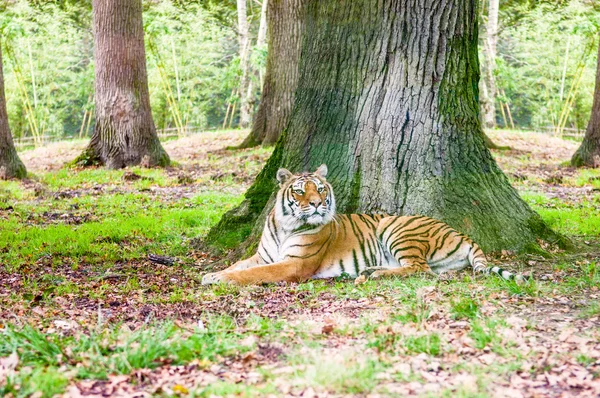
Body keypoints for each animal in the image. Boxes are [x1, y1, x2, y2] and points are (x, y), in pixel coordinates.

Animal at [203, 165, 524, 286]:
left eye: (321, 189)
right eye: (300, 190)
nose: (317, 204)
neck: (286, 225)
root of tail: (461, 232)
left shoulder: (294, 264)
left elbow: (254, 274)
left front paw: (219, 279)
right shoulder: (263, 255)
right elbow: (240, 265)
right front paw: (211, 274)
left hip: (396, 228)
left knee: (421, 269)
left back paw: (374, 274)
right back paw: (369, 271)